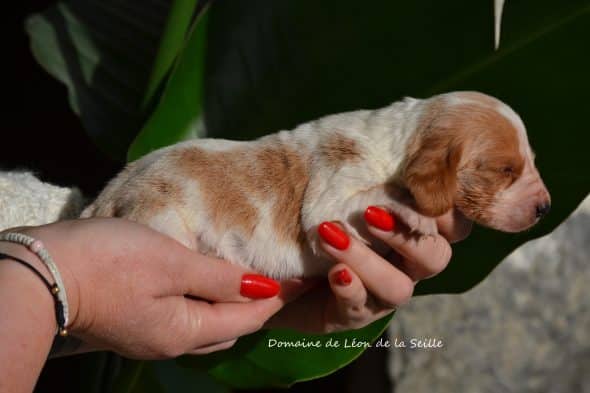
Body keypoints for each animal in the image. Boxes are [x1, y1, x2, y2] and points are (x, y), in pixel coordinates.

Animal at [81, 90, 552, 278]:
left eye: (530, 162)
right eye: (505, 170)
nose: (546, 207)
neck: (400, 139)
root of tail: (106, 194)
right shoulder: (329, 203)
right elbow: (384, 193)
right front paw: (419, 216)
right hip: (161, 218)